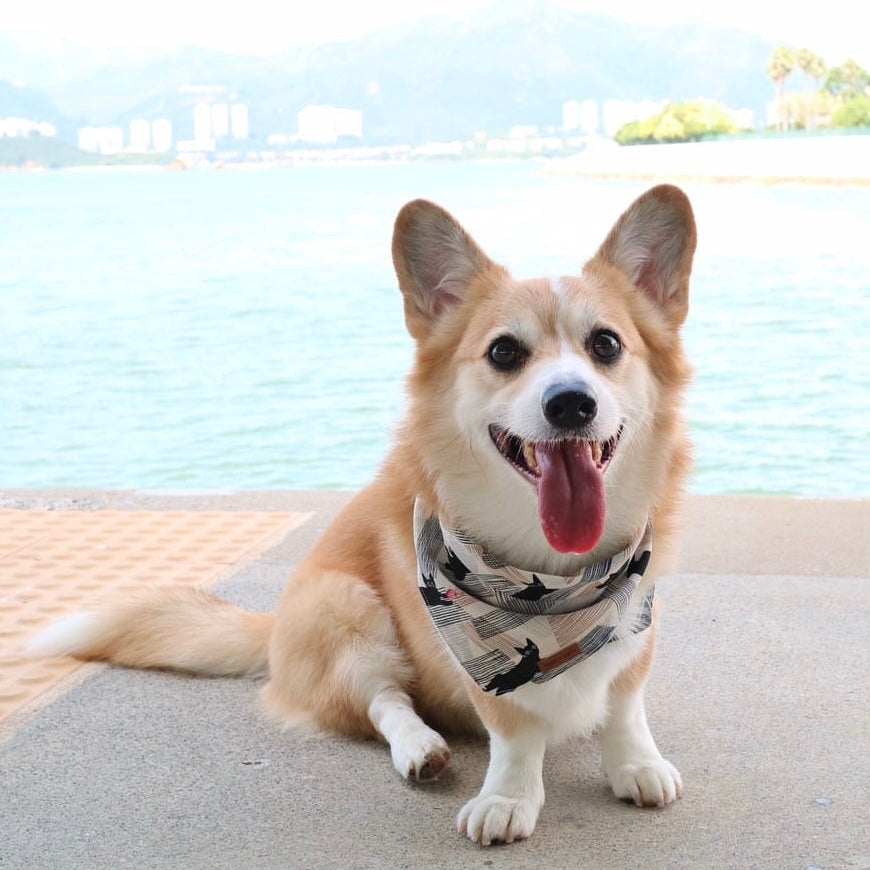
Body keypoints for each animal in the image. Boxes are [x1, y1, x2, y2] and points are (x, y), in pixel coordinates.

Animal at [30, 184, 700, 844]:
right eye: (505, 352)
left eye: (606, 344)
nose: (570, 404)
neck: (559, 580)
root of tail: (273, 626)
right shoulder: (475, 665)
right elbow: (510, 730)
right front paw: (508, 800)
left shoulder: (636, 612)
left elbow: (625, 703)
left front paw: (636, 765)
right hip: (348, 610)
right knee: (383, 700)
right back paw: (420, 747)